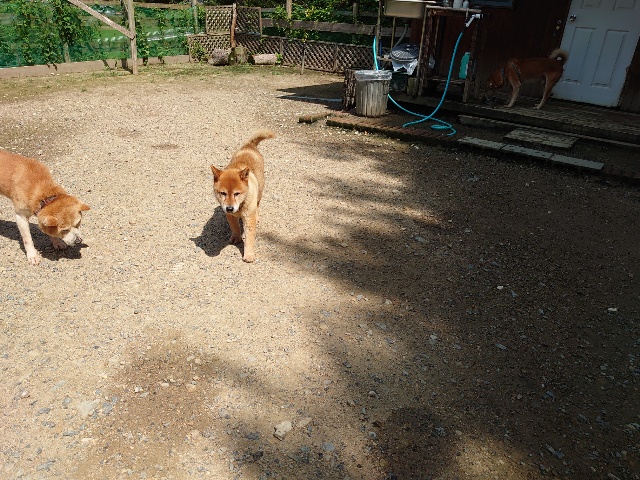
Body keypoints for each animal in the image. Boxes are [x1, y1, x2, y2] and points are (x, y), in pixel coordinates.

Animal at [211, 129, 275, 263]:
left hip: (260, 190)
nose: (230, 208)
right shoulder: (229, 215)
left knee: (258, 204)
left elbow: (249, 237)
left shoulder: (249, 218)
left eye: (237, 193)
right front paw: (236, 237)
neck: (240, 208)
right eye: (223, 193)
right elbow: (234, 226)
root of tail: (249, 146)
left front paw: (249, 255)